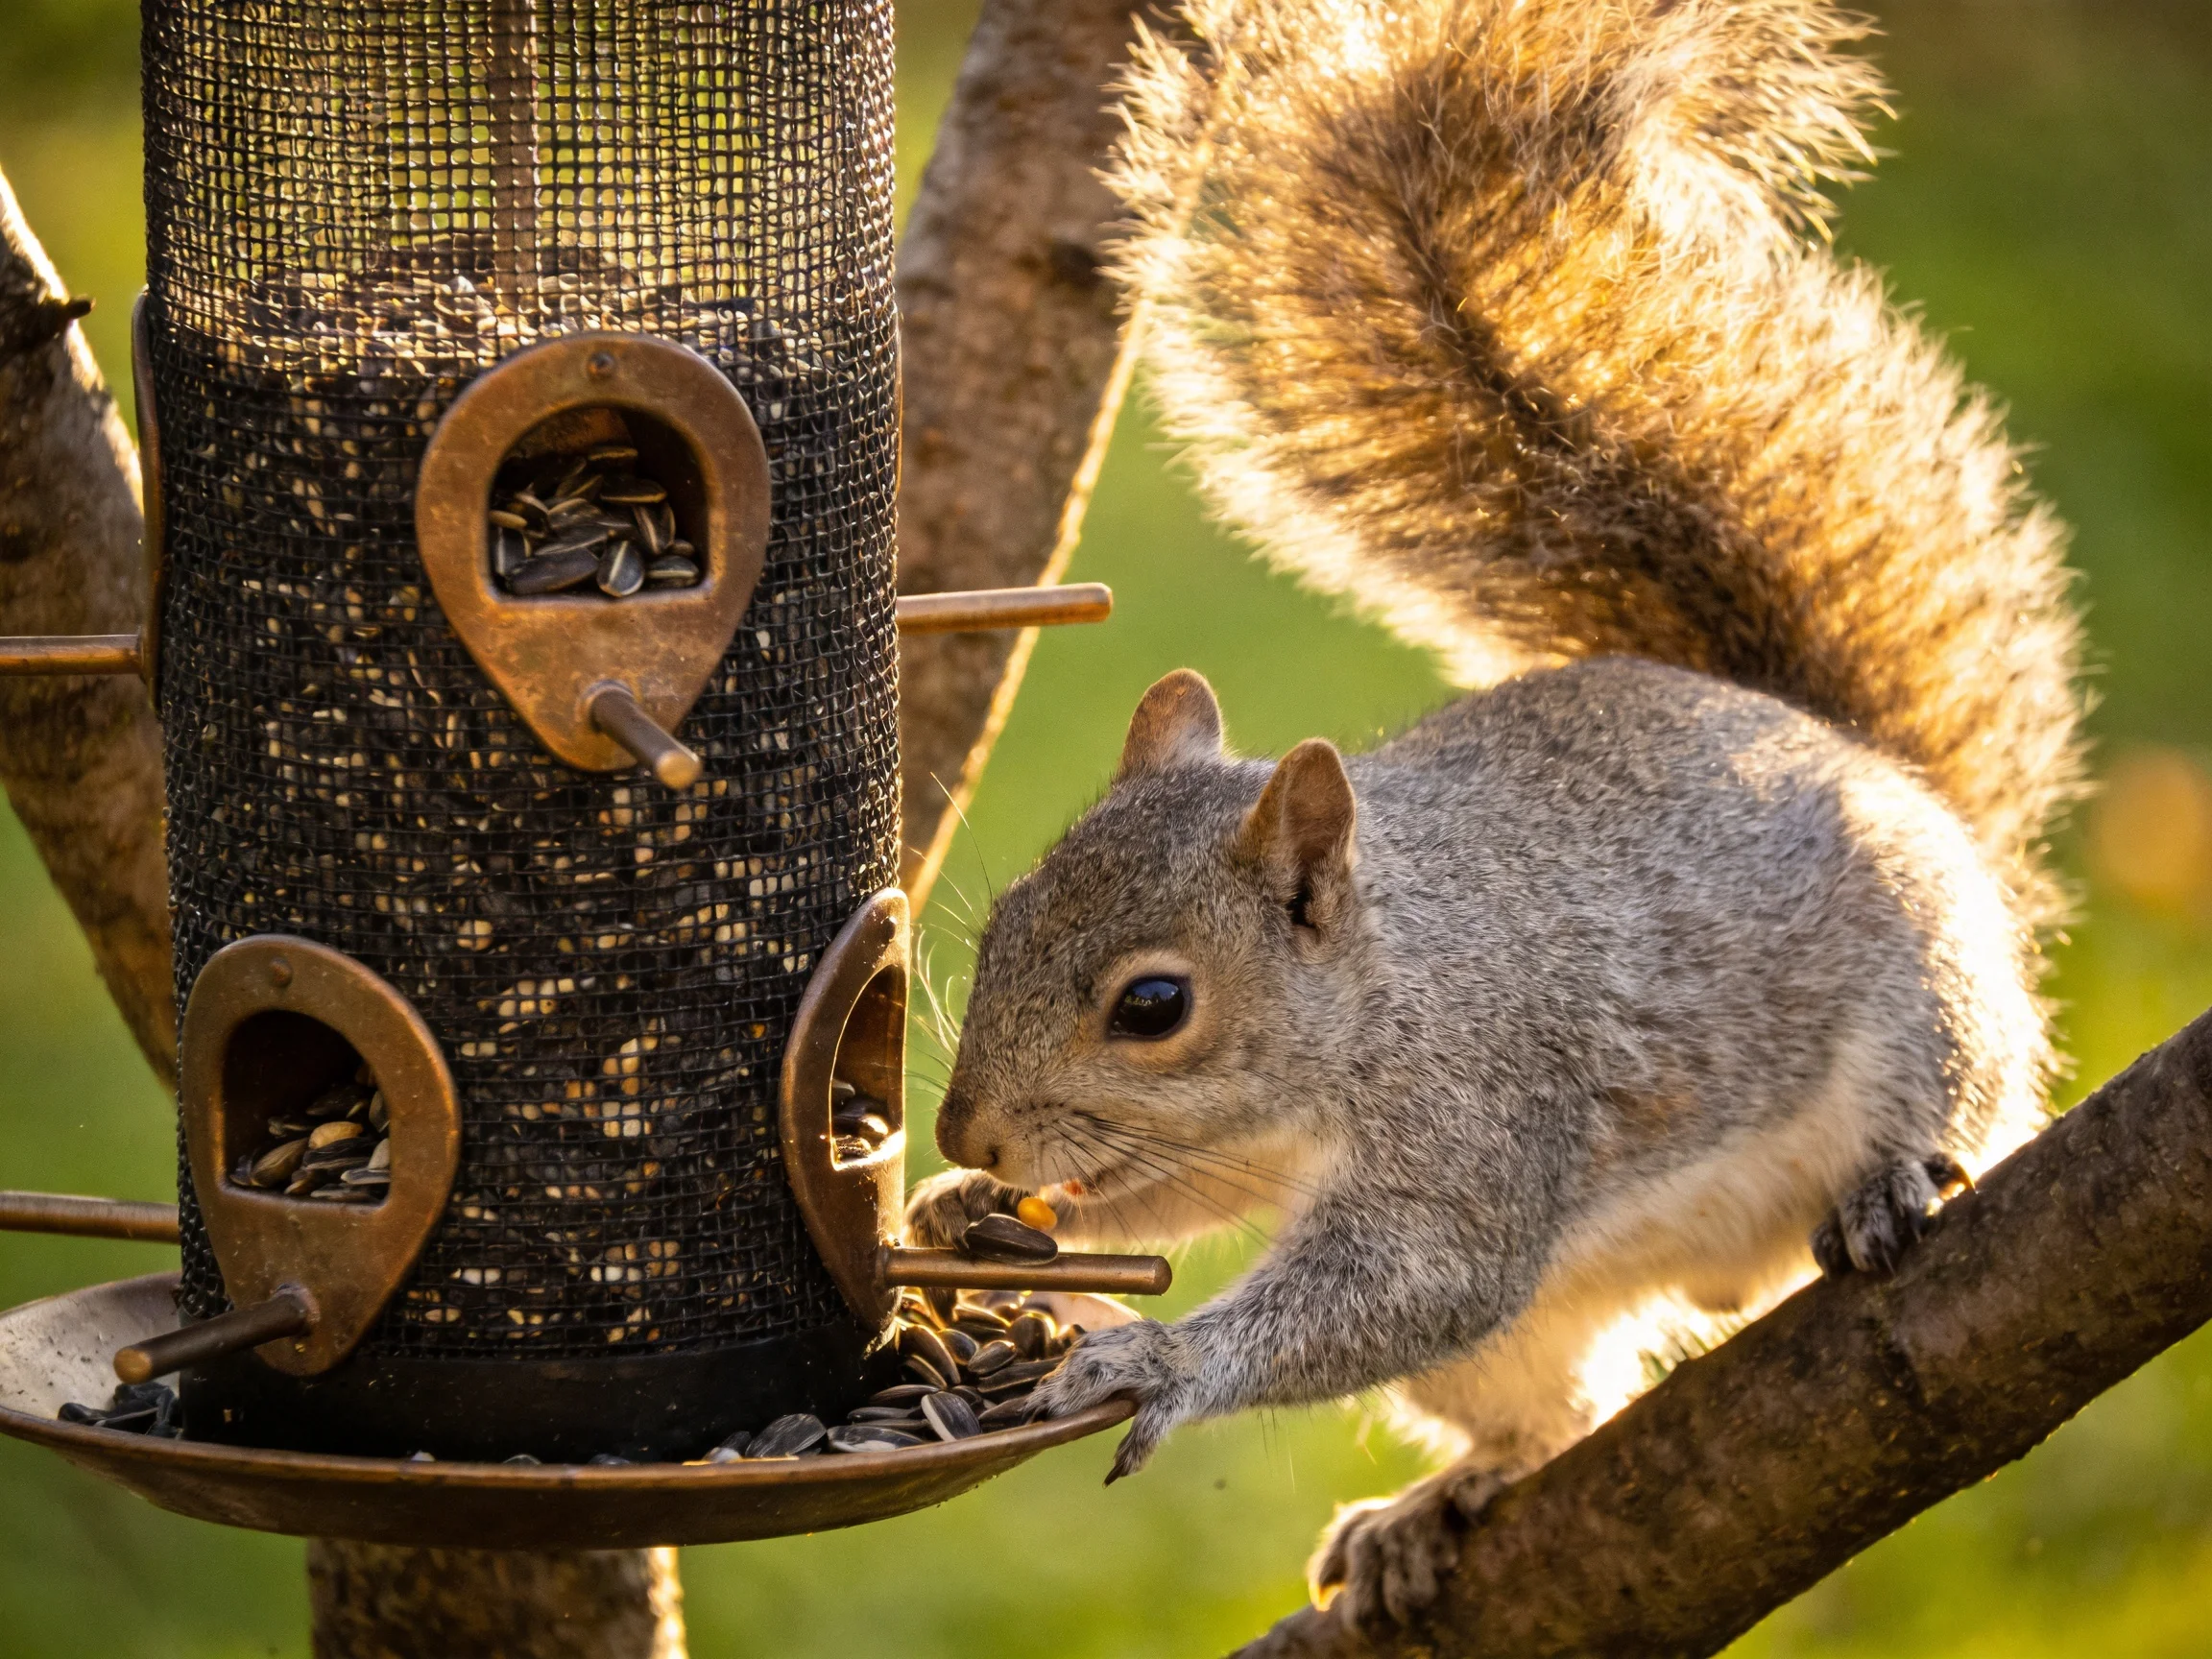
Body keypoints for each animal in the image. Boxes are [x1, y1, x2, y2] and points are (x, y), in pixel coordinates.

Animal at [905, 0, 2085, 1631]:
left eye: (1153, 1006)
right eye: (1004, 920)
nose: (968, 1125)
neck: (1379, 992)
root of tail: (1874, 763)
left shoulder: (1478, 1109)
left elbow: (1417, 1277)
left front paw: (1159, 1357)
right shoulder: (1223, 1151)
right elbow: (1162, 1203)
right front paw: (968, 1213)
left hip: (1934, 991)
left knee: (1963, 1089)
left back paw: (1895, 1175)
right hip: (1507, 1360)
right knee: (1554, 1415)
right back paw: (1428, 1513)